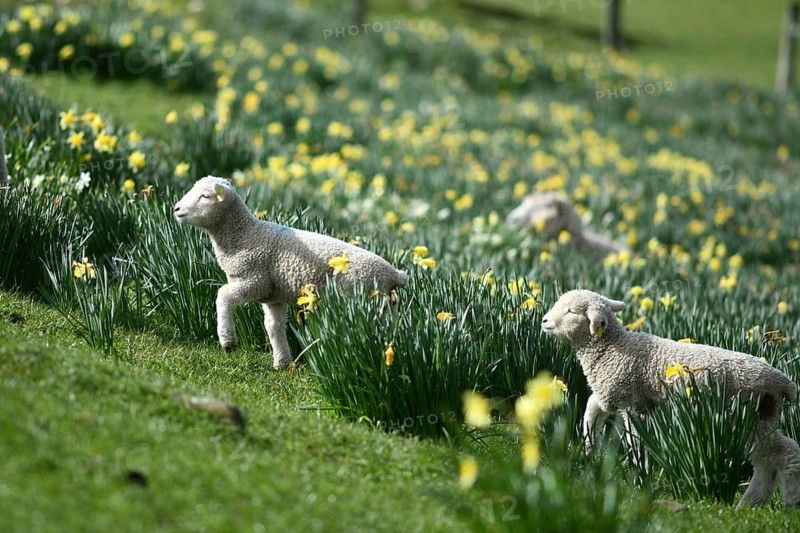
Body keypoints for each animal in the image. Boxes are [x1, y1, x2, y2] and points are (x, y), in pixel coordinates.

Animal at [173, 176, 408, 370]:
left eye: (205, 196)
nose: (176, 209)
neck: (244, 235)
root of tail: (395, 274)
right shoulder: (273, 296)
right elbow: (274, 327)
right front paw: (282, 362)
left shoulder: (254, 280)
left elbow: (222, 295)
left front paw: (228, 341)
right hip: (388, 306)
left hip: (365, 298)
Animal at [541, 289, 800, 508]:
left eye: (571, 311)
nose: (543, 320)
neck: (610, 349)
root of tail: (785, 383)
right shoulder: (611, 394)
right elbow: (592, 409)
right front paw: (589, 447)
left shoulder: (632, 403)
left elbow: (636, 441)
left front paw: (640, 475)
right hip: (762, 417)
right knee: (769, 458)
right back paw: (751, 502)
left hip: (748, 415)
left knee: (783, 453)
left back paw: (789, 500)